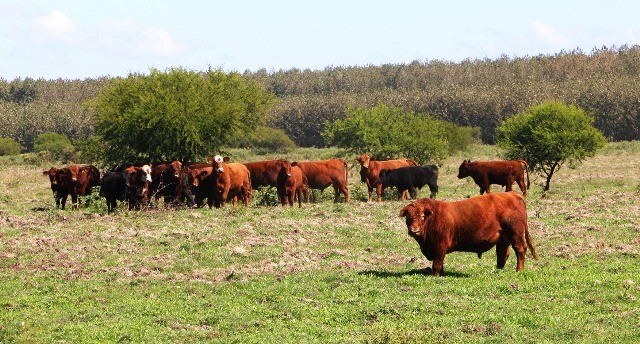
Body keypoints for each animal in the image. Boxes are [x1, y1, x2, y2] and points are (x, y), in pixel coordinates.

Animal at [398, 192, 536, 276]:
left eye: (422, 217)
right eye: (408, 217)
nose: (414, 230)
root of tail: (512, 193)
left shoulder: (440, 246)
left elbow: (437, 264)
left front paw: (436, 276)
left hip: (516, 234)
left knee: (520, 250)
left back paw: (519, 270)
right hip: (504, 237)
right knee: (502, 254)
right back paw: (498, 270)